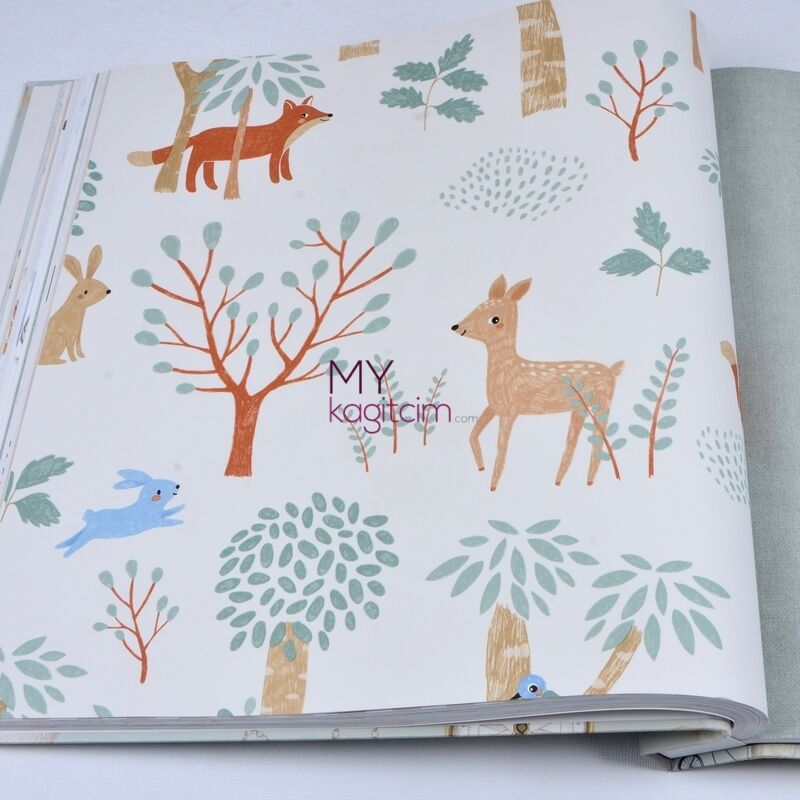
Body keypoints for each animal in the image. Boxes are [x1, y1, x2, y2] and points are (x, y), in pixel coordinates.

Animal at [127, 96, 332, 193]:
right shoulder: (275, 151)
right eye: (304, 114)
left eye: (314, 109)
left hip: (210, 160)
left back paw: (212, 187)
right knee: (190, 170)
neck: (288, 135)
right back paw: (191, 189)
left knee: (206, 173)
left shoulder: (286, 151)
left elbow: (286, 167)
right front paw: (277, 182)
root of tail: (200, 134)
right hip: (200, 157)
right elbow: (273, 169)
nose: (329, 114)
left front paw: (288, 179)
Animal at [451, 275, 624, 491]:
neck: (507, 371)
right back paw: (560, 481)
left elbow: (501, 449)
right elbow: (473, 433)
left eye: (495, 319)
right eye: (477, 305)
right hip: (579, 409)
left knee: (598, 440)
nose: (456, 326)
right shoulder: (494, 406)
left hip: (603, 402)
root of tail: (612, 371)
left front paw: (493, 486)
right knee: (573, 442)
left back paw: (588, 482)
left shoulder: (510, 410)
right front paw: (481, 468)